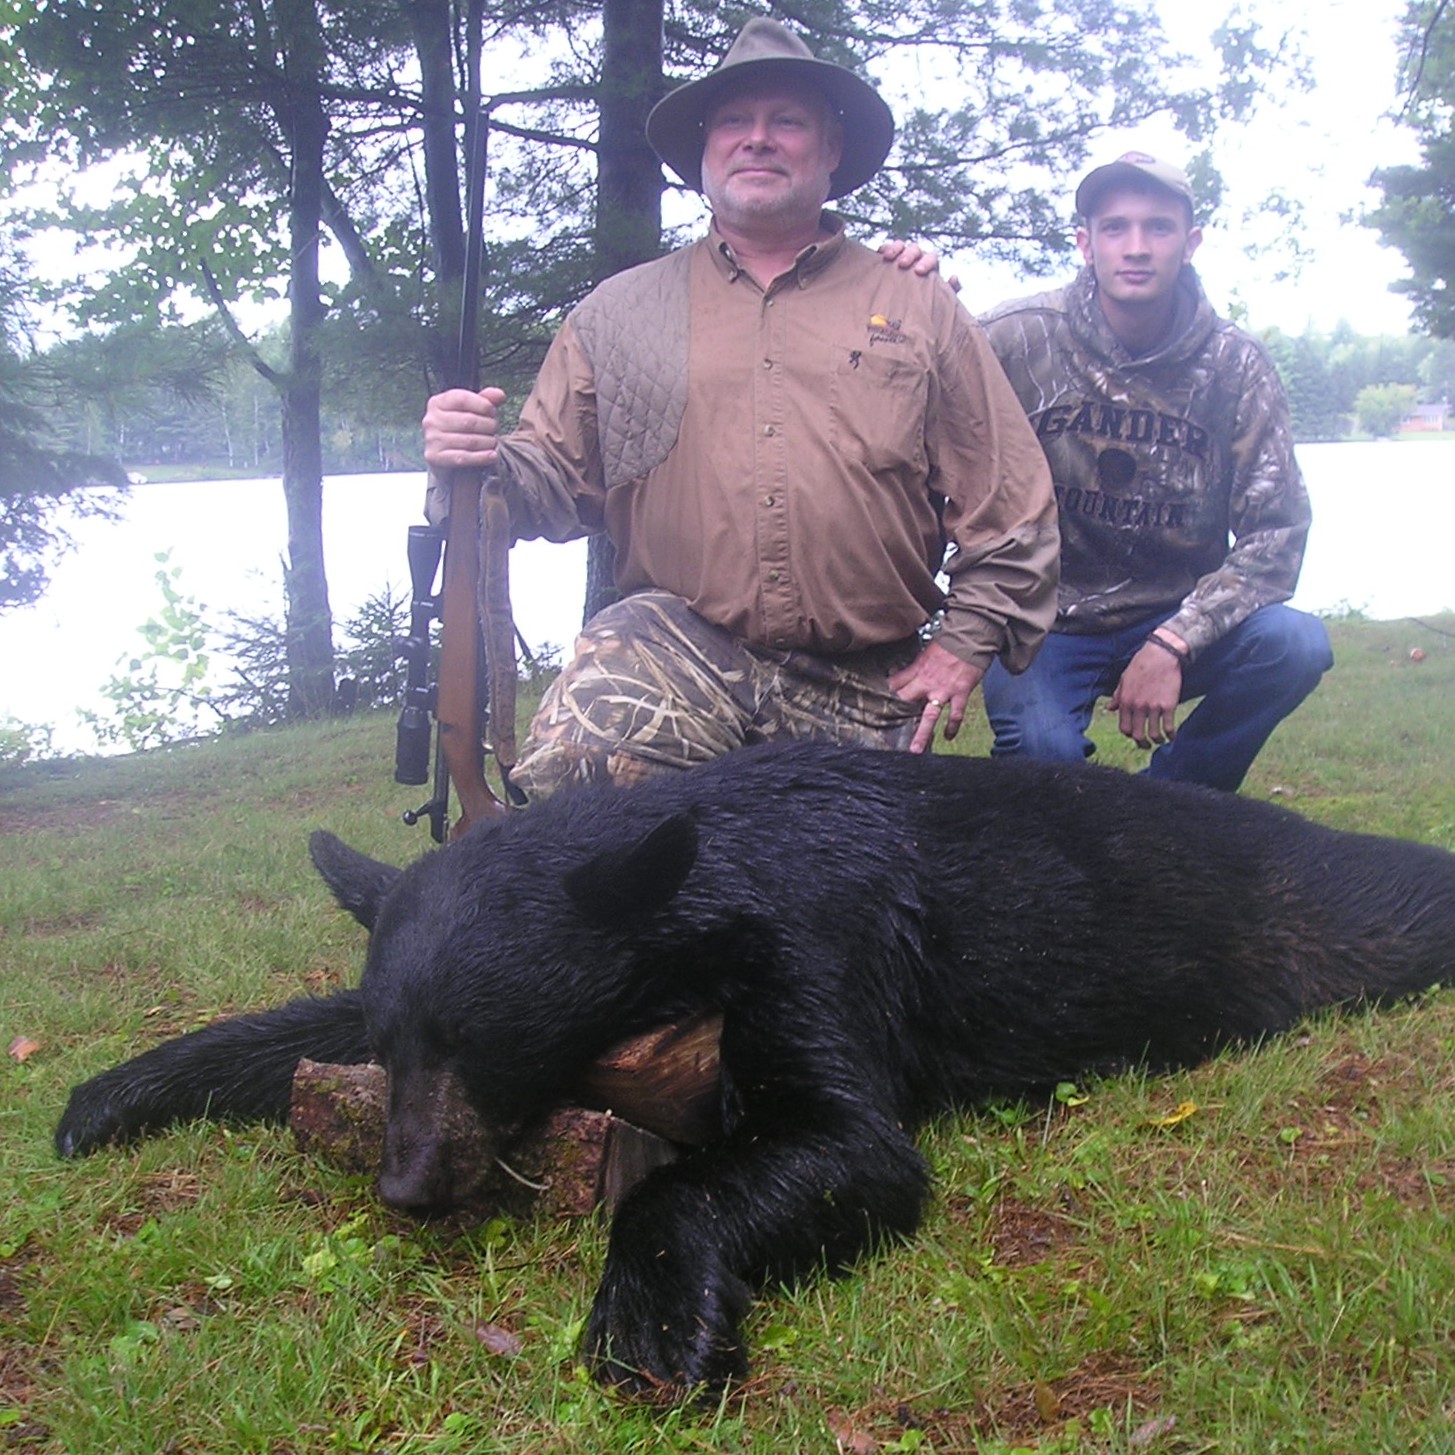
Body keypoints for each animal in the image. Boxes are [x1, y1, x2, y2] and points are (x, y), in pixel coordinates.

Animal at [55, 742, 1455, 1396]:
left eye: (490, 1042)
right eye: (402, 1048)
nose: (408, 1185)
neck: (696, 879)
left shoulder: (815, 944)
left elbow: (845, 1149)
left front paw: (655, 1321)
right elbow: (299, 1017)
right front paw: (109, 1095)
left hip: (1337, 914)